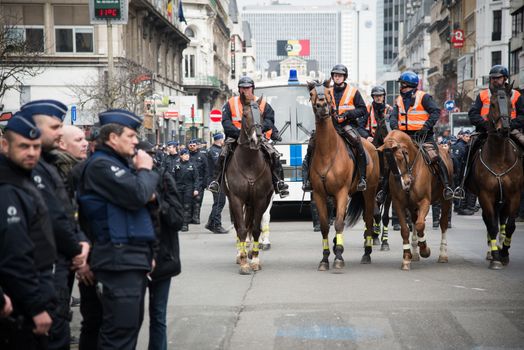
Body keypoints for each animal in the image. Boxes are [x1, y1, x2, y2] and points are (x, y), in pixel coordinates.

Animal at [223, 94, 274, 274]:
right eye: (245, 115)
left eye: (261, 114)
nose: (256, 138)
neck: (250, 163)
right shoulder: (236, 199)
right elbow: (242, 228)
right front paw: (244, 261)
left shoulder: (260, 199)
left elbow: (256, 227)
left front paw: (255, 260)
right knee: (241, 226)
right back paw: (241, 253)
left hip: (253, 202)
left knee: (251, 224)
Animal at [308, 80, 376, 272]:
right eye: (312, 94)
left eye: (328, 93)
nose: (322, 106)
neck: (327, 151)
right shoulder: (320, 194)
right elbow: (325, 225)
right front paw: (325, 258)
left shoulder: (341, 192)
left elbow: (338, 223)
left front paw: (338, 256)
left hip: (368, 192)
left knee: (368, 219)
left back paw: (367, 253)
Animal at [376, 131, 454, 270]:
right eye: (387, 163)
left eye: (401, 157)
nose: (405, 183)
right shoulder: (399, 204)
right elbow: (405, 230)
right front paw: (407, 257)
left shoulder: (424, 202)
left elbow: (420, 225)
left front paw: (425, 250)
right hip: (412, 206)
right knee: (412, 221)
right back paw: (415, 253)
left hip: (446, 201)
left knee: (443, 223)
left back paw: (443, 254)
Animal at [464, 85, 520, 270]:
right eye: (493, 105)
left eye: (511, 105)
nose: (505, 129)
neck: (499, 158)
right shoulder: (485, 195)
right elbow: (491, 225)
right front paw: (496, 257)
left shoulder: (514, 195)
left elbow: (509, 226)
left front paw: (504, 253)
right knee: (491, 222)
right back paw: (492, 250)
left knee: (502, 220)